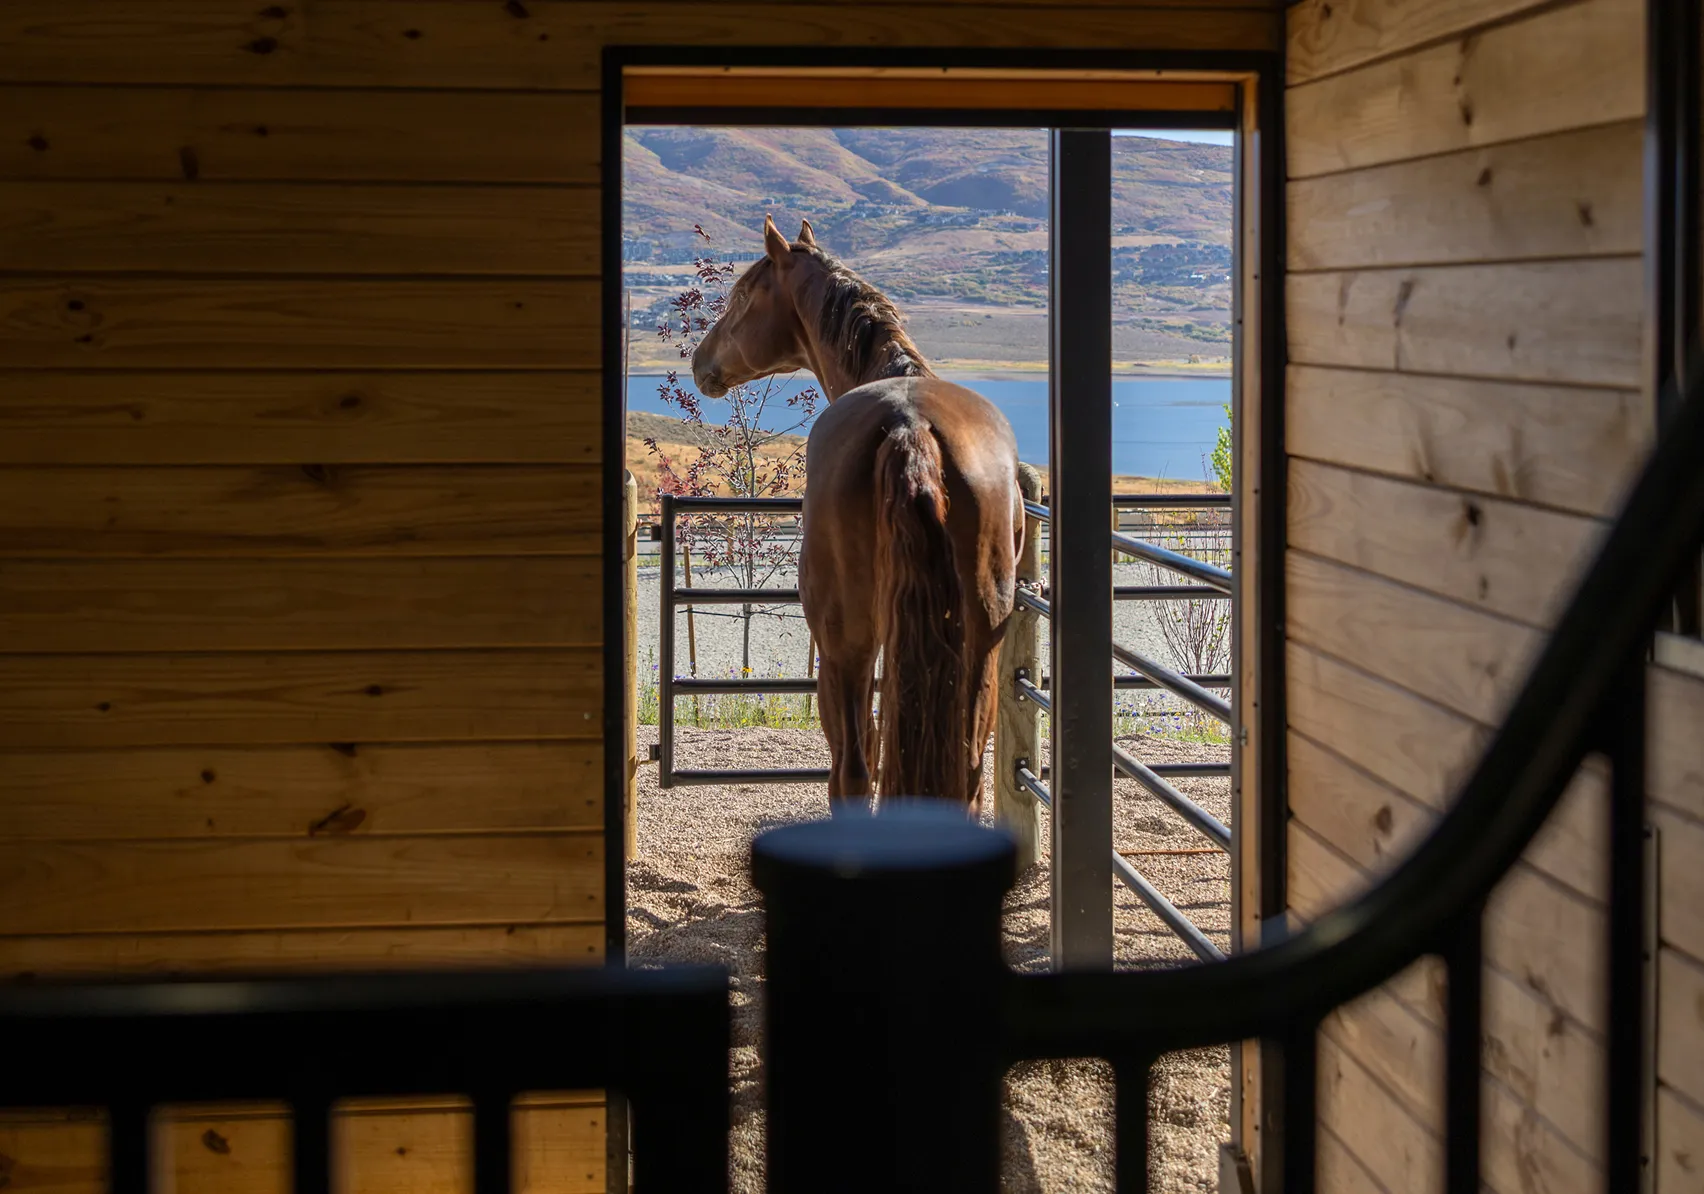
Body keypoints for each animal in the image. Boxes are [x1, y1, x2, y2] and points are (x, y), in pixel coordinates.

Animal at [691, 215, 1022, 813]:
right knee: (967, 773)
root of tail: (910, 428)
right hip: (980, 642)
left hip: (845, 643)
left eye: (744, 295)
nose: (700, 362)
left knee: (852, 771)